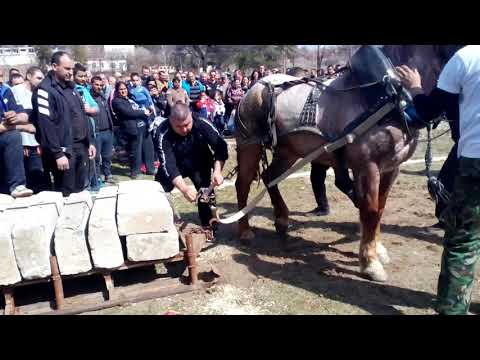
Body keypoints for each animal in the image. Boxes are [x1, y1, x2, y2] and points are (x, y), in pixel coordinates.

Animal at [232, 45, 454, 282]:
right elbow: (370, 211)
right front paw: (370, 263)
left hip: (288, 152)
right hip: (249, 146)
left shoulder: (391, 168)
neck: (389, 93)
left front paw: (378, 250)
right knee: (243, 184)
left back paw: (282, 219)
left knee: (270, 177)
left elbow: (380, 208)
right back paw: (244, 230)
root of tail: (255, 86)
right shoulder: (367, 167)